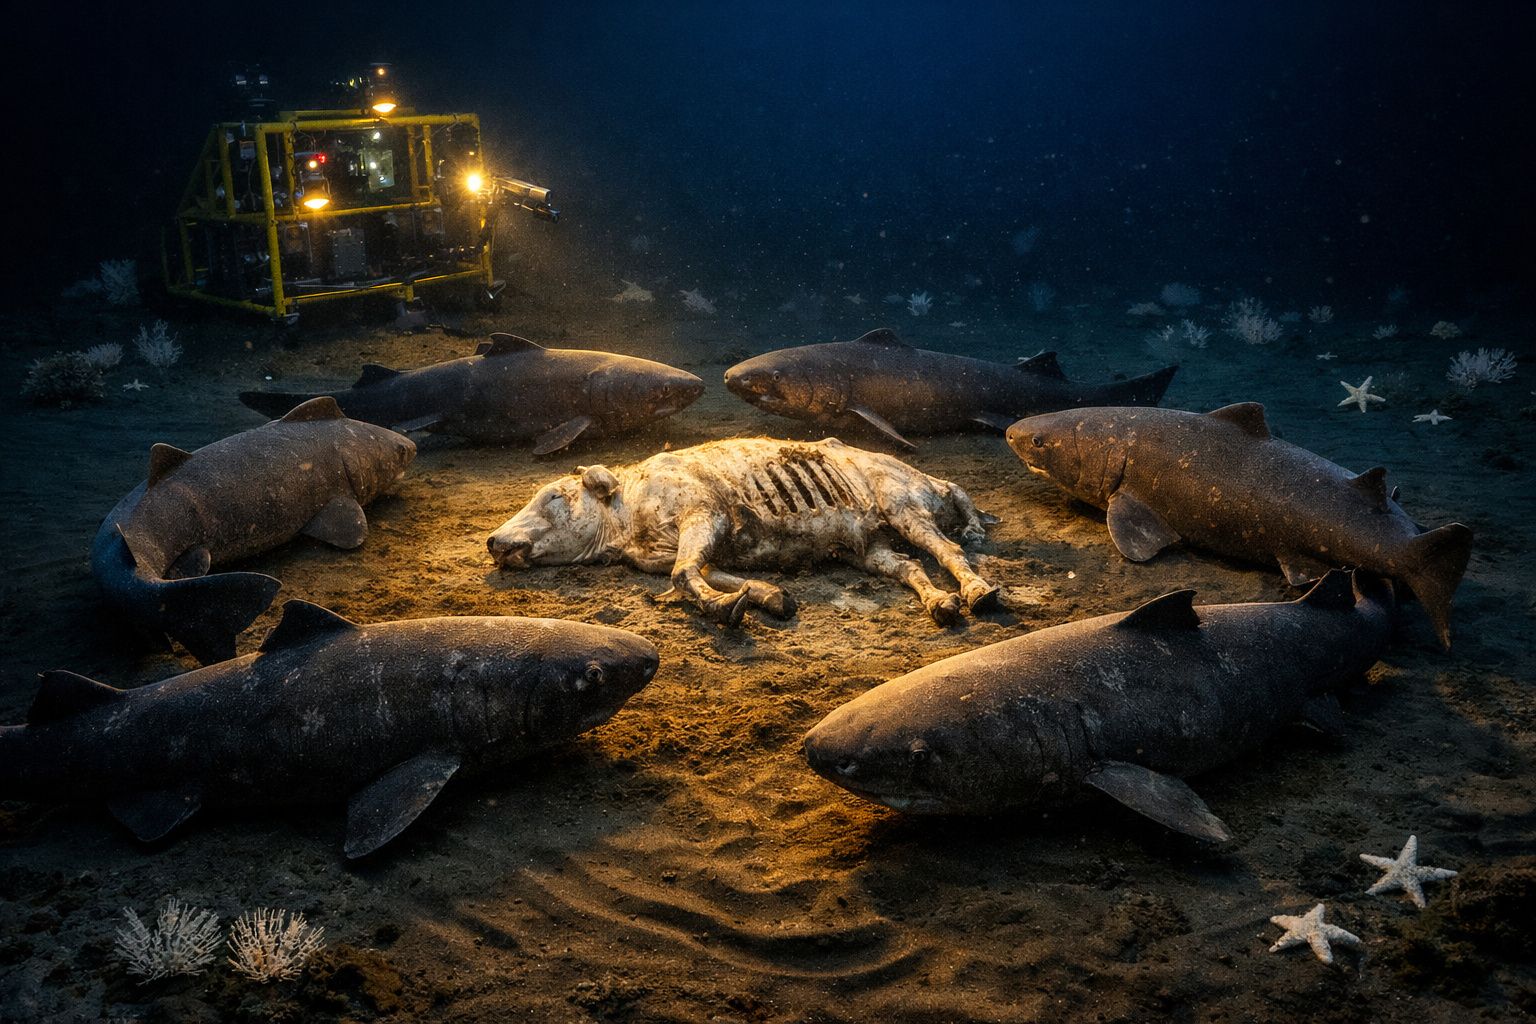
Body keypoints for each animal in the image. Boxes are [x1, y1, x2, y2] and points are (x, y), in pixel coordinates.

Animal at [486, 438, 1001, 627]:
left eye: (554, 496)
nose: (493, 540)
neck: (627, 517)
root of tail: (927, 477)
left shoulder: (705, 516)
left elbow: (683, 573)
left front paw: (724, 609)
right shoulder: (693, 547)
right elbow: (706, 572)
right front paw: (770, 595)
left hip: (903, 503)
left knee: (949, 549)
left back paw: (978, 592)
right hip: (869, 545)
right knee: (910, 566)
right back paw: (940, 604)